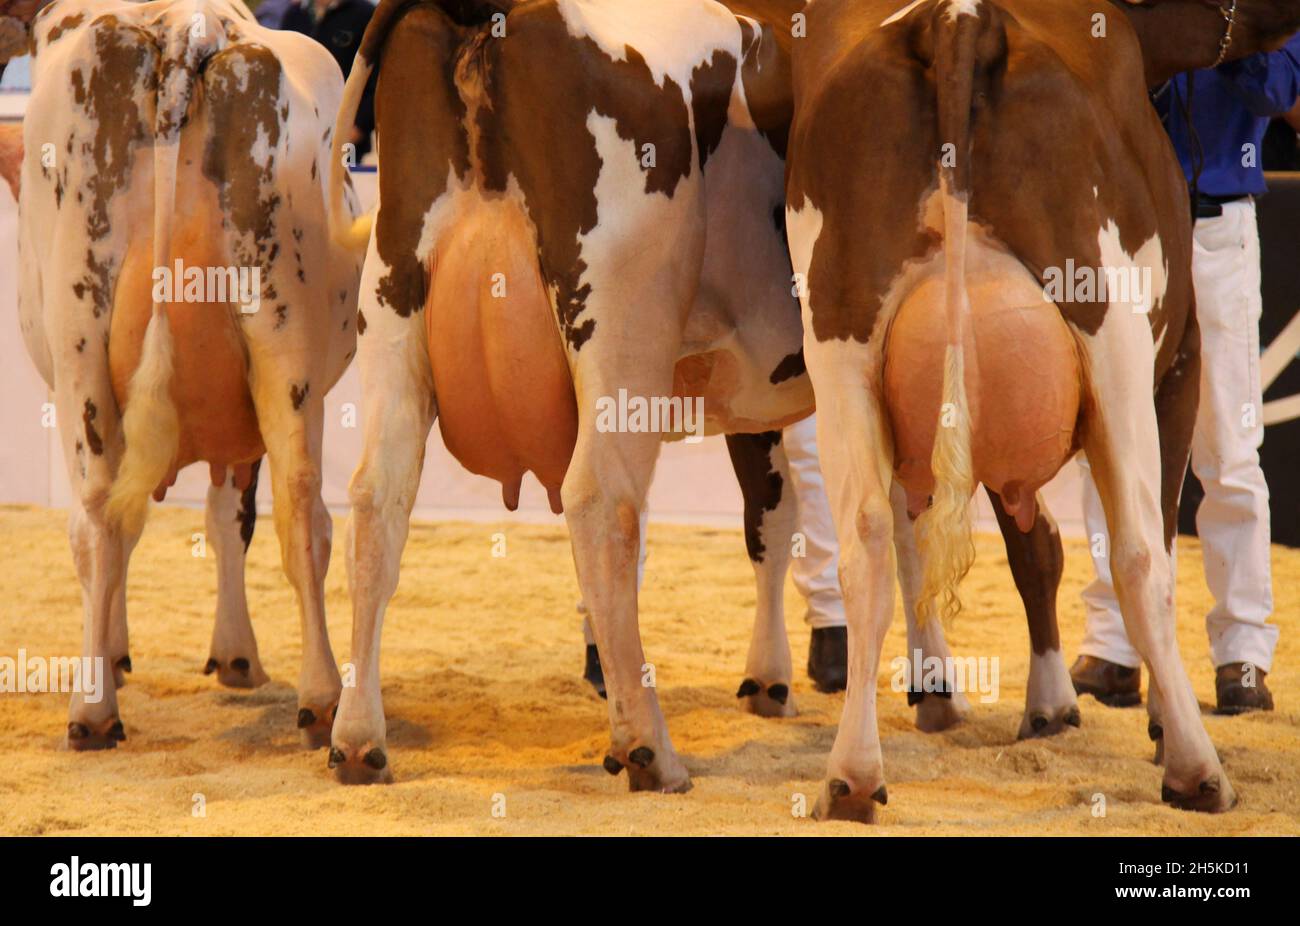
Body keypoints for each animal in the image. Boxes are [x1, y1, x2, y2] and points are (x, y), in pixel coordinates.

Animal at [20, 0, 364, 749]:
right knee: (300, 504)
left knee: (98, 518)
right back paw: (321, 699)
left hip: (82, 342)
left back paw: (95, 708)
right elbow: (224, 516)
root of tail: (187, 28)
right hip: (281, 343)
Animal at [780, 0, 1300, 827]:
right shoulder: (1180, 361)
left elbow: (1031, 548)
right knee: (1138, 554)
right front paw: (1150, 720)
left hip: (842, 346)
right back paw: (1197, 770)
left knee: (866, 542)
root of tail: (957, 19)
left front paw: (1048, 705)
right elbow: (1144, 541)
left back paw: (852, 777)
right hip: (1112, 336)